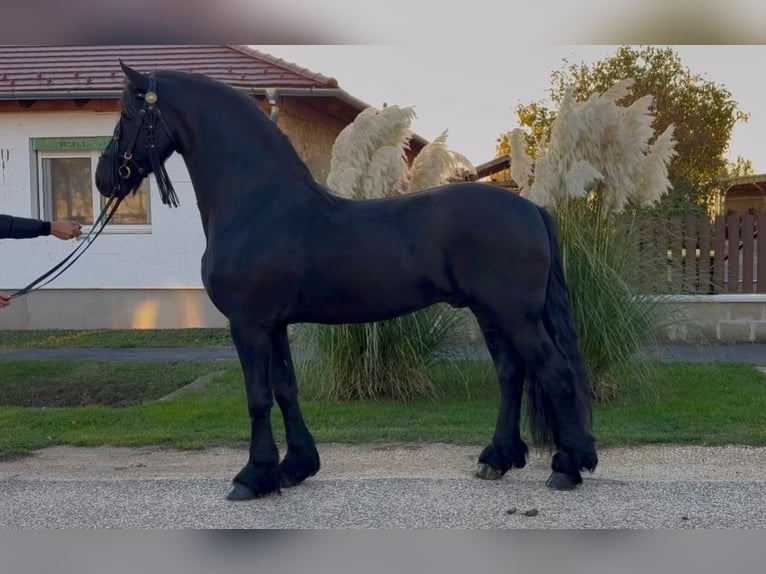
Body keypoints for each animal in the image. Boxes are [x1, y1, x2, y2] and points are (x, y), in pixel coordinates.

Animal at [96, 61, 597, 501]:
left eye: (128, 114)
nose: (104, 178)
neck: (258, 204)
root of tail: (531, 208)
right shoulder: (274, 325)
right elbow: (285, 390)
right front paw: (294, 468)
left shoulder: (249, 324)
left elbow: (257, 396)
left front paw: (252, 477)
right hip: (489, 312)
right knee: (512, 373)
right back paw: (497, 458)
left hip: (516, 315)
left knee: (555, 371)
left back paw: (567, 467)